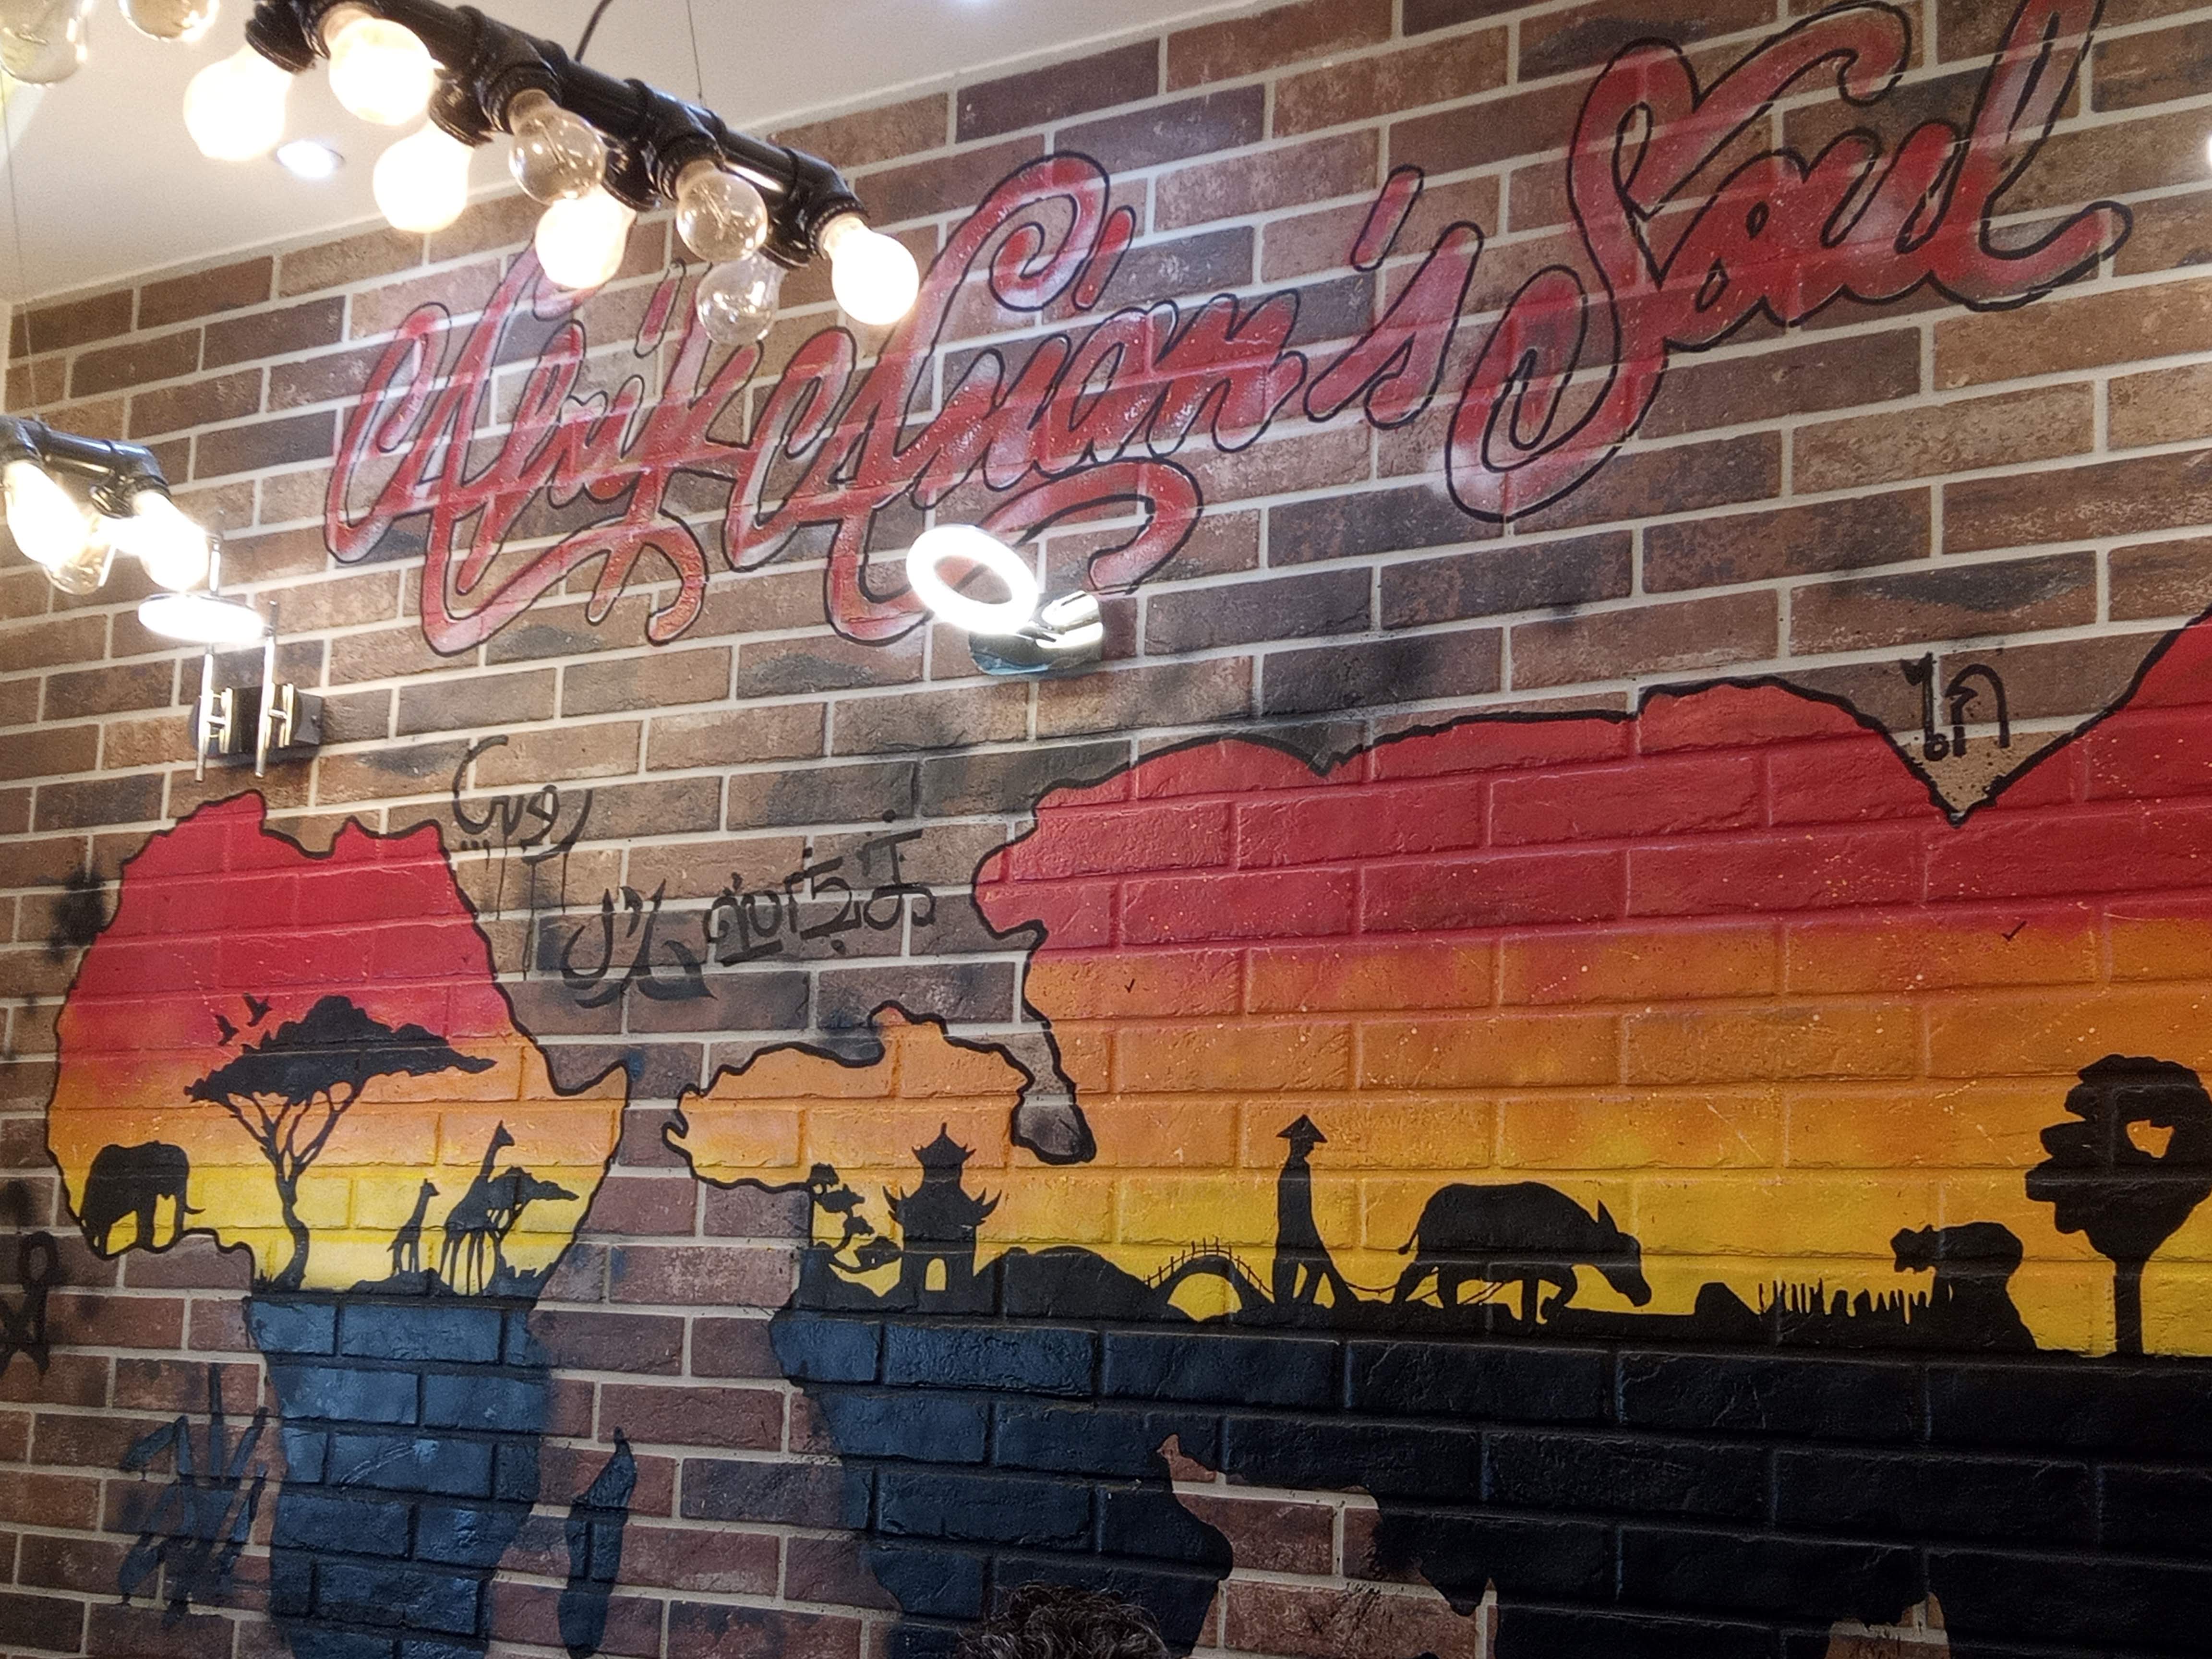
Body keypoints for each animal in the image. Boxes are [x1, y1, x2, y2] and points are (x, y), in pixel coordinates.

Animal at [1393, 1182, 1651, 1323]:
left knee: (1445, 1287)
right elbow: (1571, 1285)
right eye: (1623, 1257)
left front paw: (1543, 1311)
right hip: (1429, 1255)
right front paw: (1547, 1309)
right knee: (1412, 1277)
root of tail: (1426, 1211)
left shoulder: (1535, 1274)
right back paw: (1397, 1309)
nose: (1645, 1296)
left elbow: (1538, 1299)